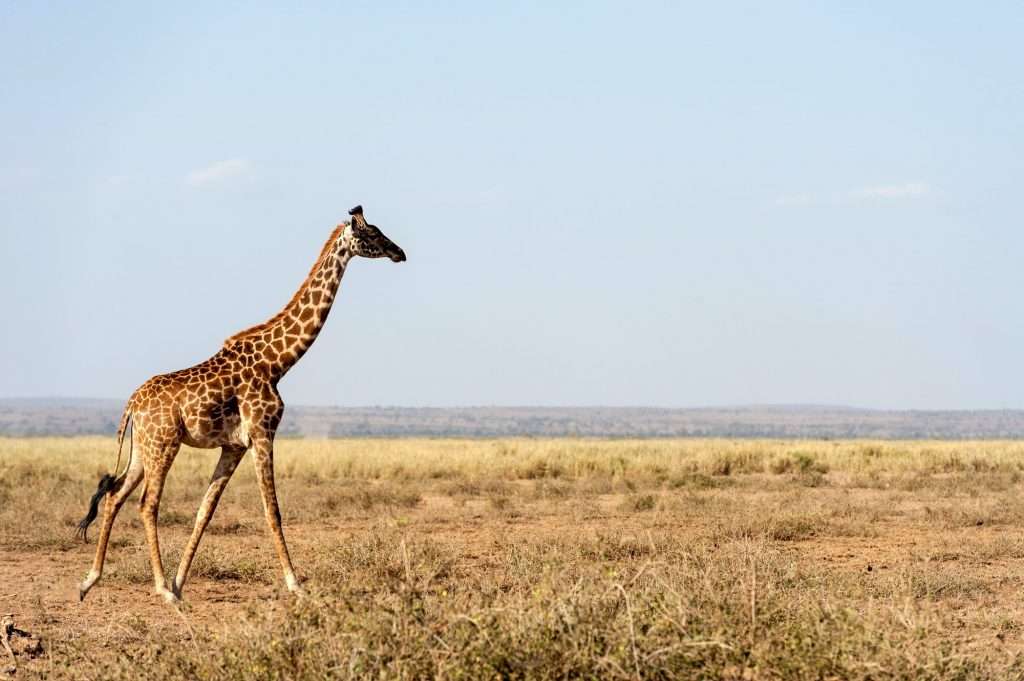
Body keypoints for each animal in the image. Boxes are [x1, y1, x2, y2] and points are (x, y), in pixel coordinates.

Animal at [76, 205, 406, 604]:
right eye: (373, 233)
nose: (400, 252)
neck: (278, 362)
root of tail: (131, 405)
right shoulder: (263, 433)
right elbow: (272, 511)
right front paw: (296, 585)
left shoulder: (233, 446)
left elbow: (205, 510)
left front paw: (180, 582)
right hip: (164, 444)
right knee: (146, 503)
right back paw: (159, 589)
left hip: (143, 448)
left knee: (114, 496)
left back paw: (90, 581)